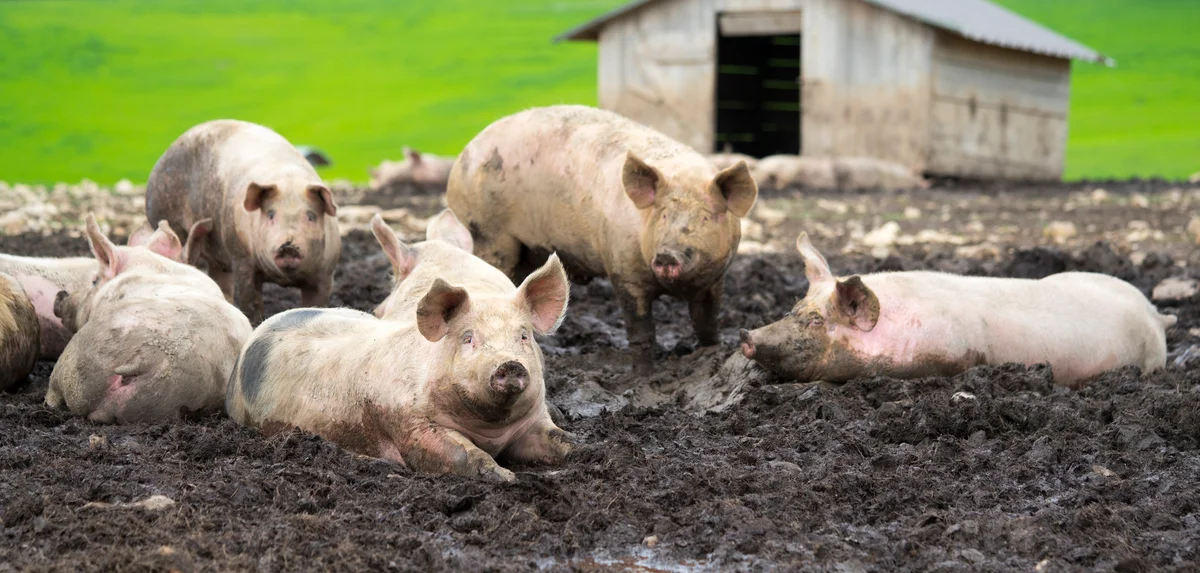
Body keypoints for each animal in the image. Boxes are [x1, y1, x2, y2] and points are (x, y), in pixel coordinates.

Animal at [144, 119, 341, 325]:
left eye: (310, 216)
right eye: (271, 214)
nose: (288, 246)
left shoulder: (325, 273)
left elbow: (317, 303)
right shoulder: (241, 257)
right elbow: (251, 303)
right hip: (166, 216)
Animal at [225, 254, 573, 482]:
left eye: (523, 335)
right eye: (468, 338)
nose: (510, 364)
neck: (492, 429)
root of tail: (258, 331)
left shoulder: (532, 418)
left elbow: (560, 439)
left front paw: (578, 451)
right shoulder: (410, 426)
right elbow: (460, 452)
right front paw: (506, 476)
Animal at [447, 105, 758, 366]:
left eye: (705, 217)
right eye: (663, 216)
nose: (668, 254)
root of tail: (464, 154)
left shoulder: (716, 279)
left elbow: (707, 319)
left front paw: (709, 353)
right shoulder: (623, 269)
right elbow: (640, 324)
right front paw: (644, 367)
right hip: (489, 234)